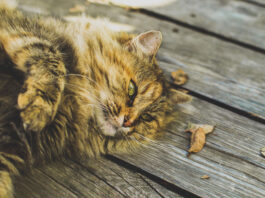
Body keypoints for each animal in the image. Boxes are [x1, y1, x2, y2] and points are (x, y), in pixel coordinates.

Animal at [0, 0, 191, 197]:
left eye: (146, 118)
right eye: (132, 90)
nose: (127, 122)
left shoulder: (11, 140)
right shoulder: (25, 32)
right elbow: (51, 57)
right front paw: (38, 108)